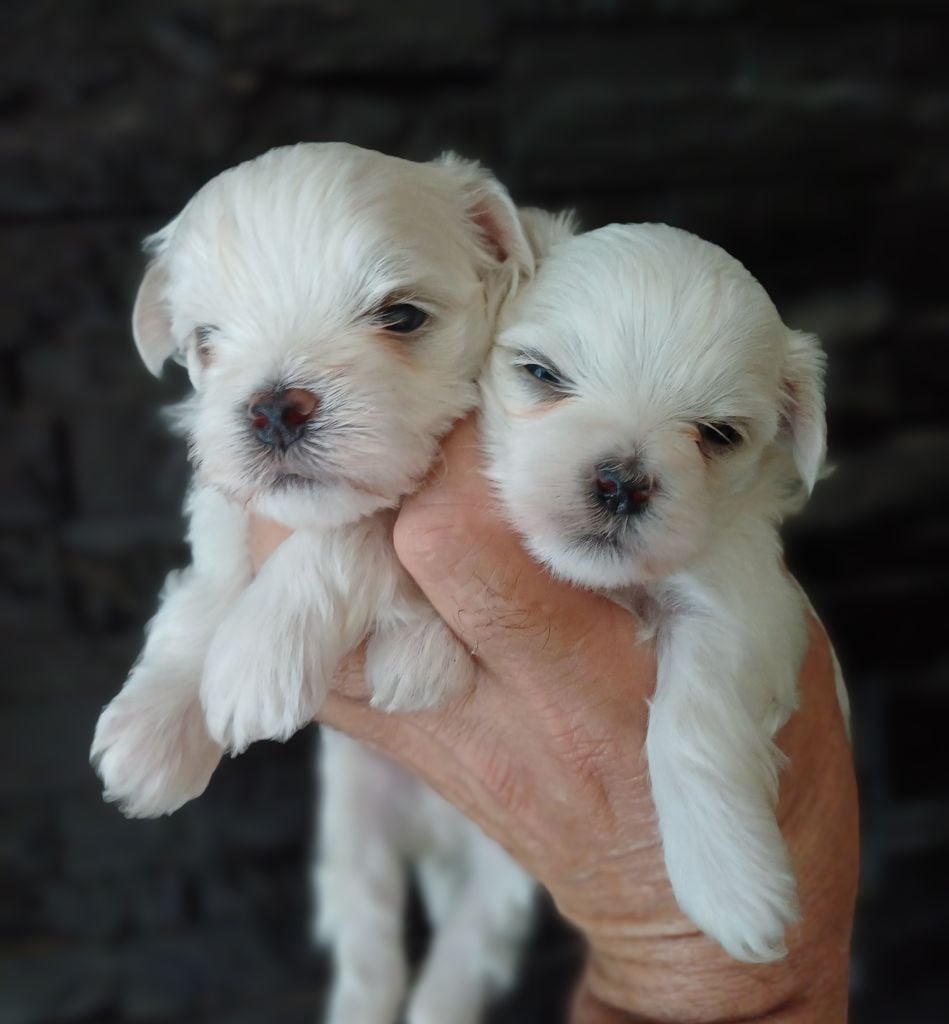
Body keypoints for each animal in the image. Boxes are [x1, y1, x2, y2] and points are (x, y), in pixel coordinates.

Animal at [92, 144, 540, 1024]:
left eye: (401, 317)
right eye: (206, 341)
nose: (273, 407)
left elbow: (353, 535)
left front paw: (253, 662)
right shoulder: (226, 513)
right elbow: (202, 596)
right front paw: (150, 733)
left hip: (507, 867)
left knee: (465, 951)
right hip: (353, 832)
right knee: (368, 950)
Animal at [483, 220, 847, 962]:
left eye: (718, 434)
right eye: (541, 373)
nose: (622, 481)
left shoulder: (739, 607)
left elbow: (690, 725)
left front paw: (731, 886)